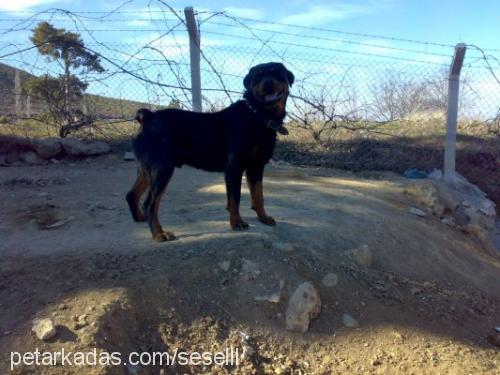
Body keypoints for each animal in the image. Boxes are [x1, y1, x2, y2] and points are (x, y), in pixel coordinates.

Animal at [127, 62, 294, 241]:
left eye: (276, 73)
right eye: (258, 75)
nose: (268, 82)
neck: (258, 115)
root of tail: (148, 117)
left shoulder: (256, 167)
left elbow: (258, 195)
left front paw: (263, 217)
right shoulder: (234, 167)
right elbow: (235, 198)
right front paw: (237, 222)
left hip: (147, 169)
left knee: (132, 194)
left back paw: (141, 218)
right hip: (161, 168)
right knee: (150, 203)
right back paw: (159, 233)